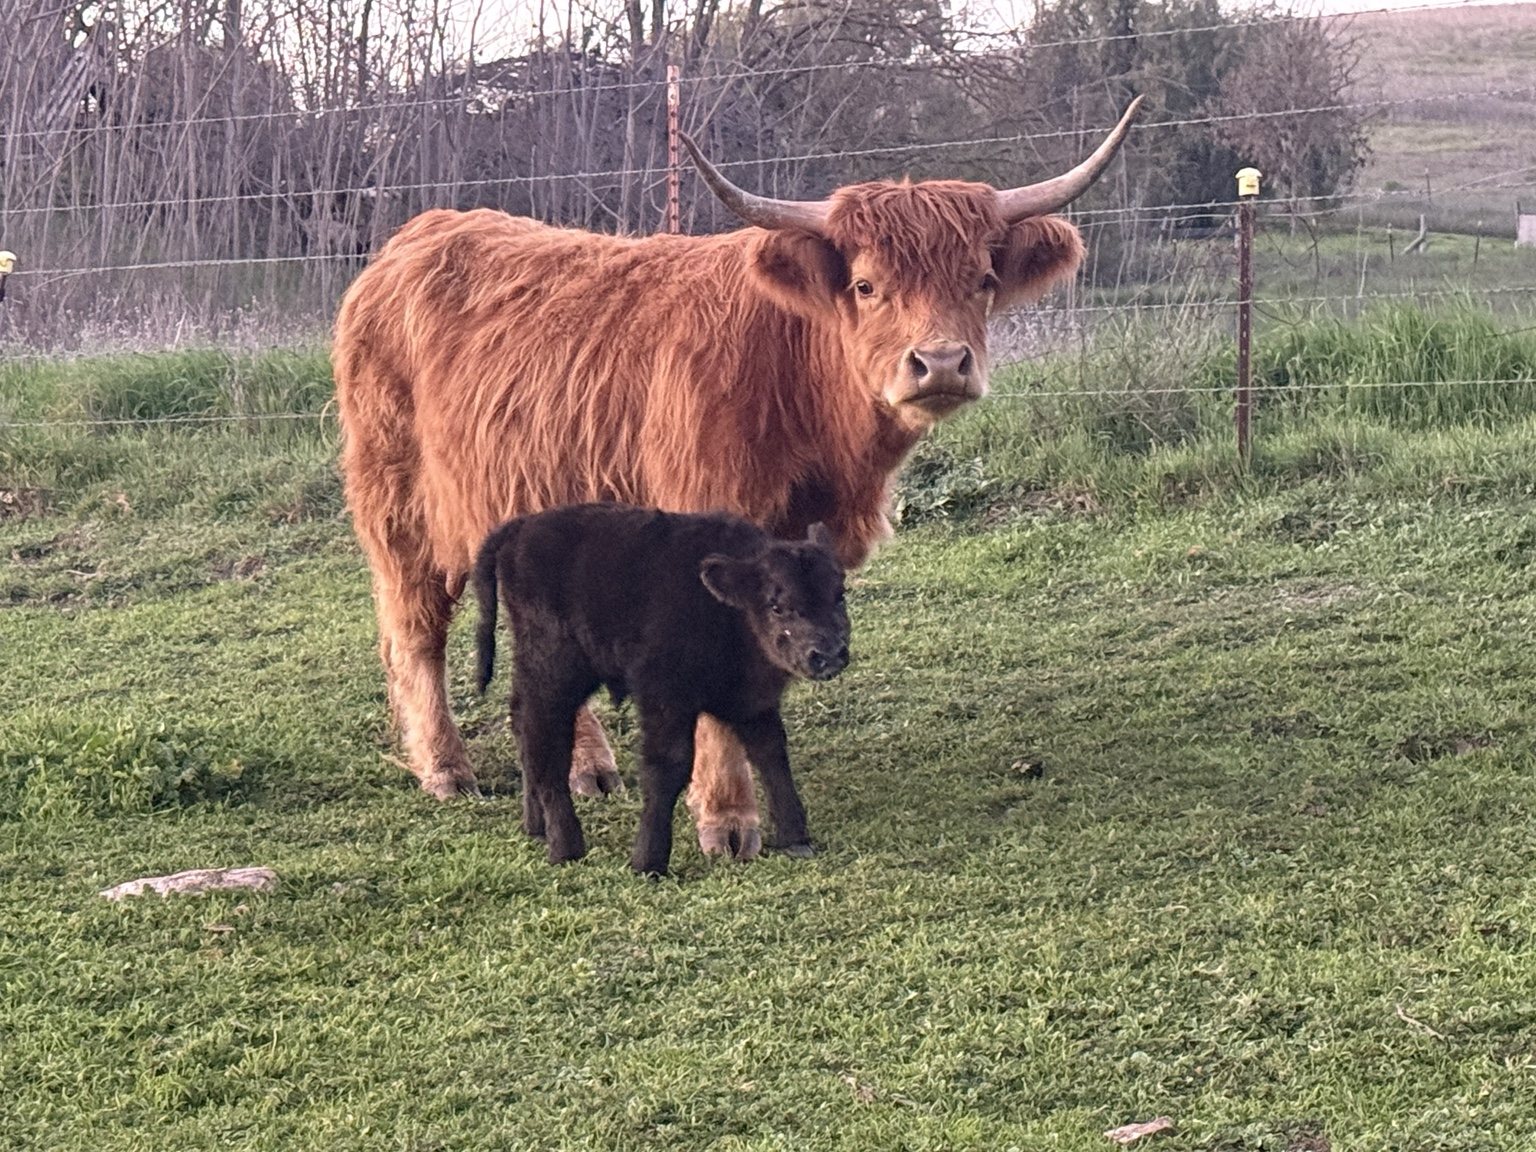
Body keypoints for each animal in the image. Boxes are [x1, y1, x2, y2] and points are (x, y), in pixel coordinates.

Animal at [473, 503, 850, 876]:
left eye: (839, 595)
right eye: (777, 606)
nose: (829, 654)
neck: (725, 611)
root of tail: (521, 528)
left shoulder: (753, 703)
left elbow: (771, 754)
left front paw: (795, 838)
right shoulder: (664, 698)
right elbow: (667, 766)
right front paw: (648, 862)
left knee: (522, 724)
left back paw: (536, 827)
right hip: (553, 672)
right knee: (545, 744)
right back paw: (566, 847)